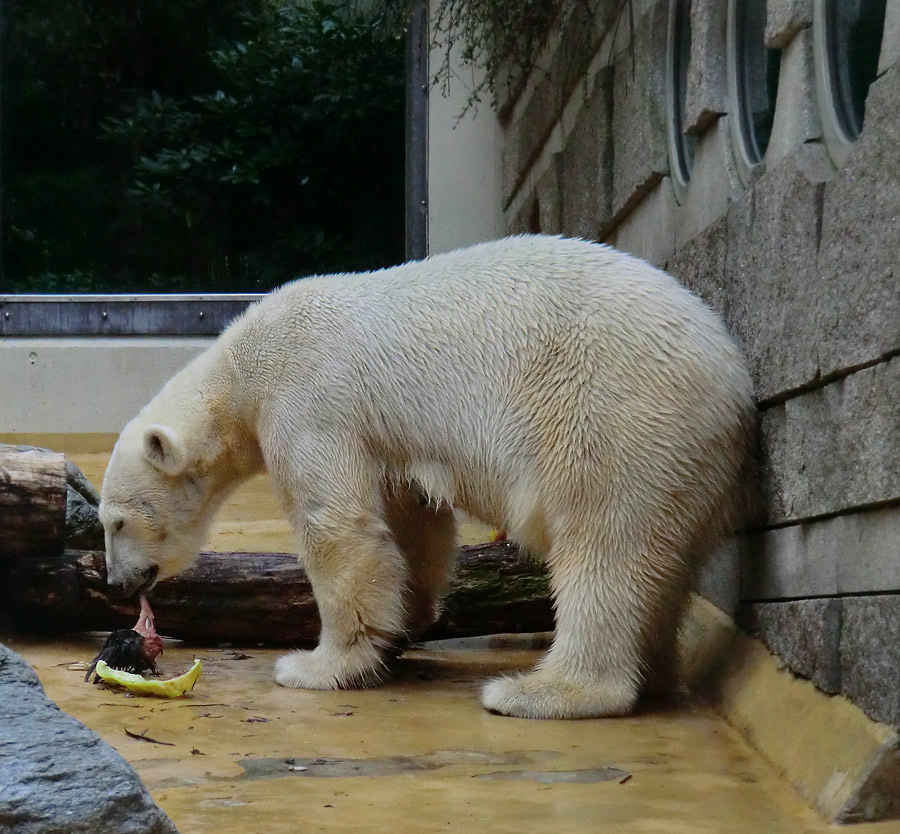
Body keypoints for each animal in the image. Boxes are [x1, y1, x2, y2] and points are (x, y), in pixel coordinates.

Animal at [102, 237, 756, 720]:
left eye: (116, 521)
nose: (118, 582)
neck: (242, 366)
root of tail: (733, 379)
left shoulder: (308, 396)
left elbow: (336, 525)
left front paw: (318, 665)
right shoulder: (382, 434)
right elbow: (410, 523)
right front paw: (402, 625)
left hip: (617, 414)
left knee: (603, 544)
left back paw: (540, 691)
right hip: (682, 461)